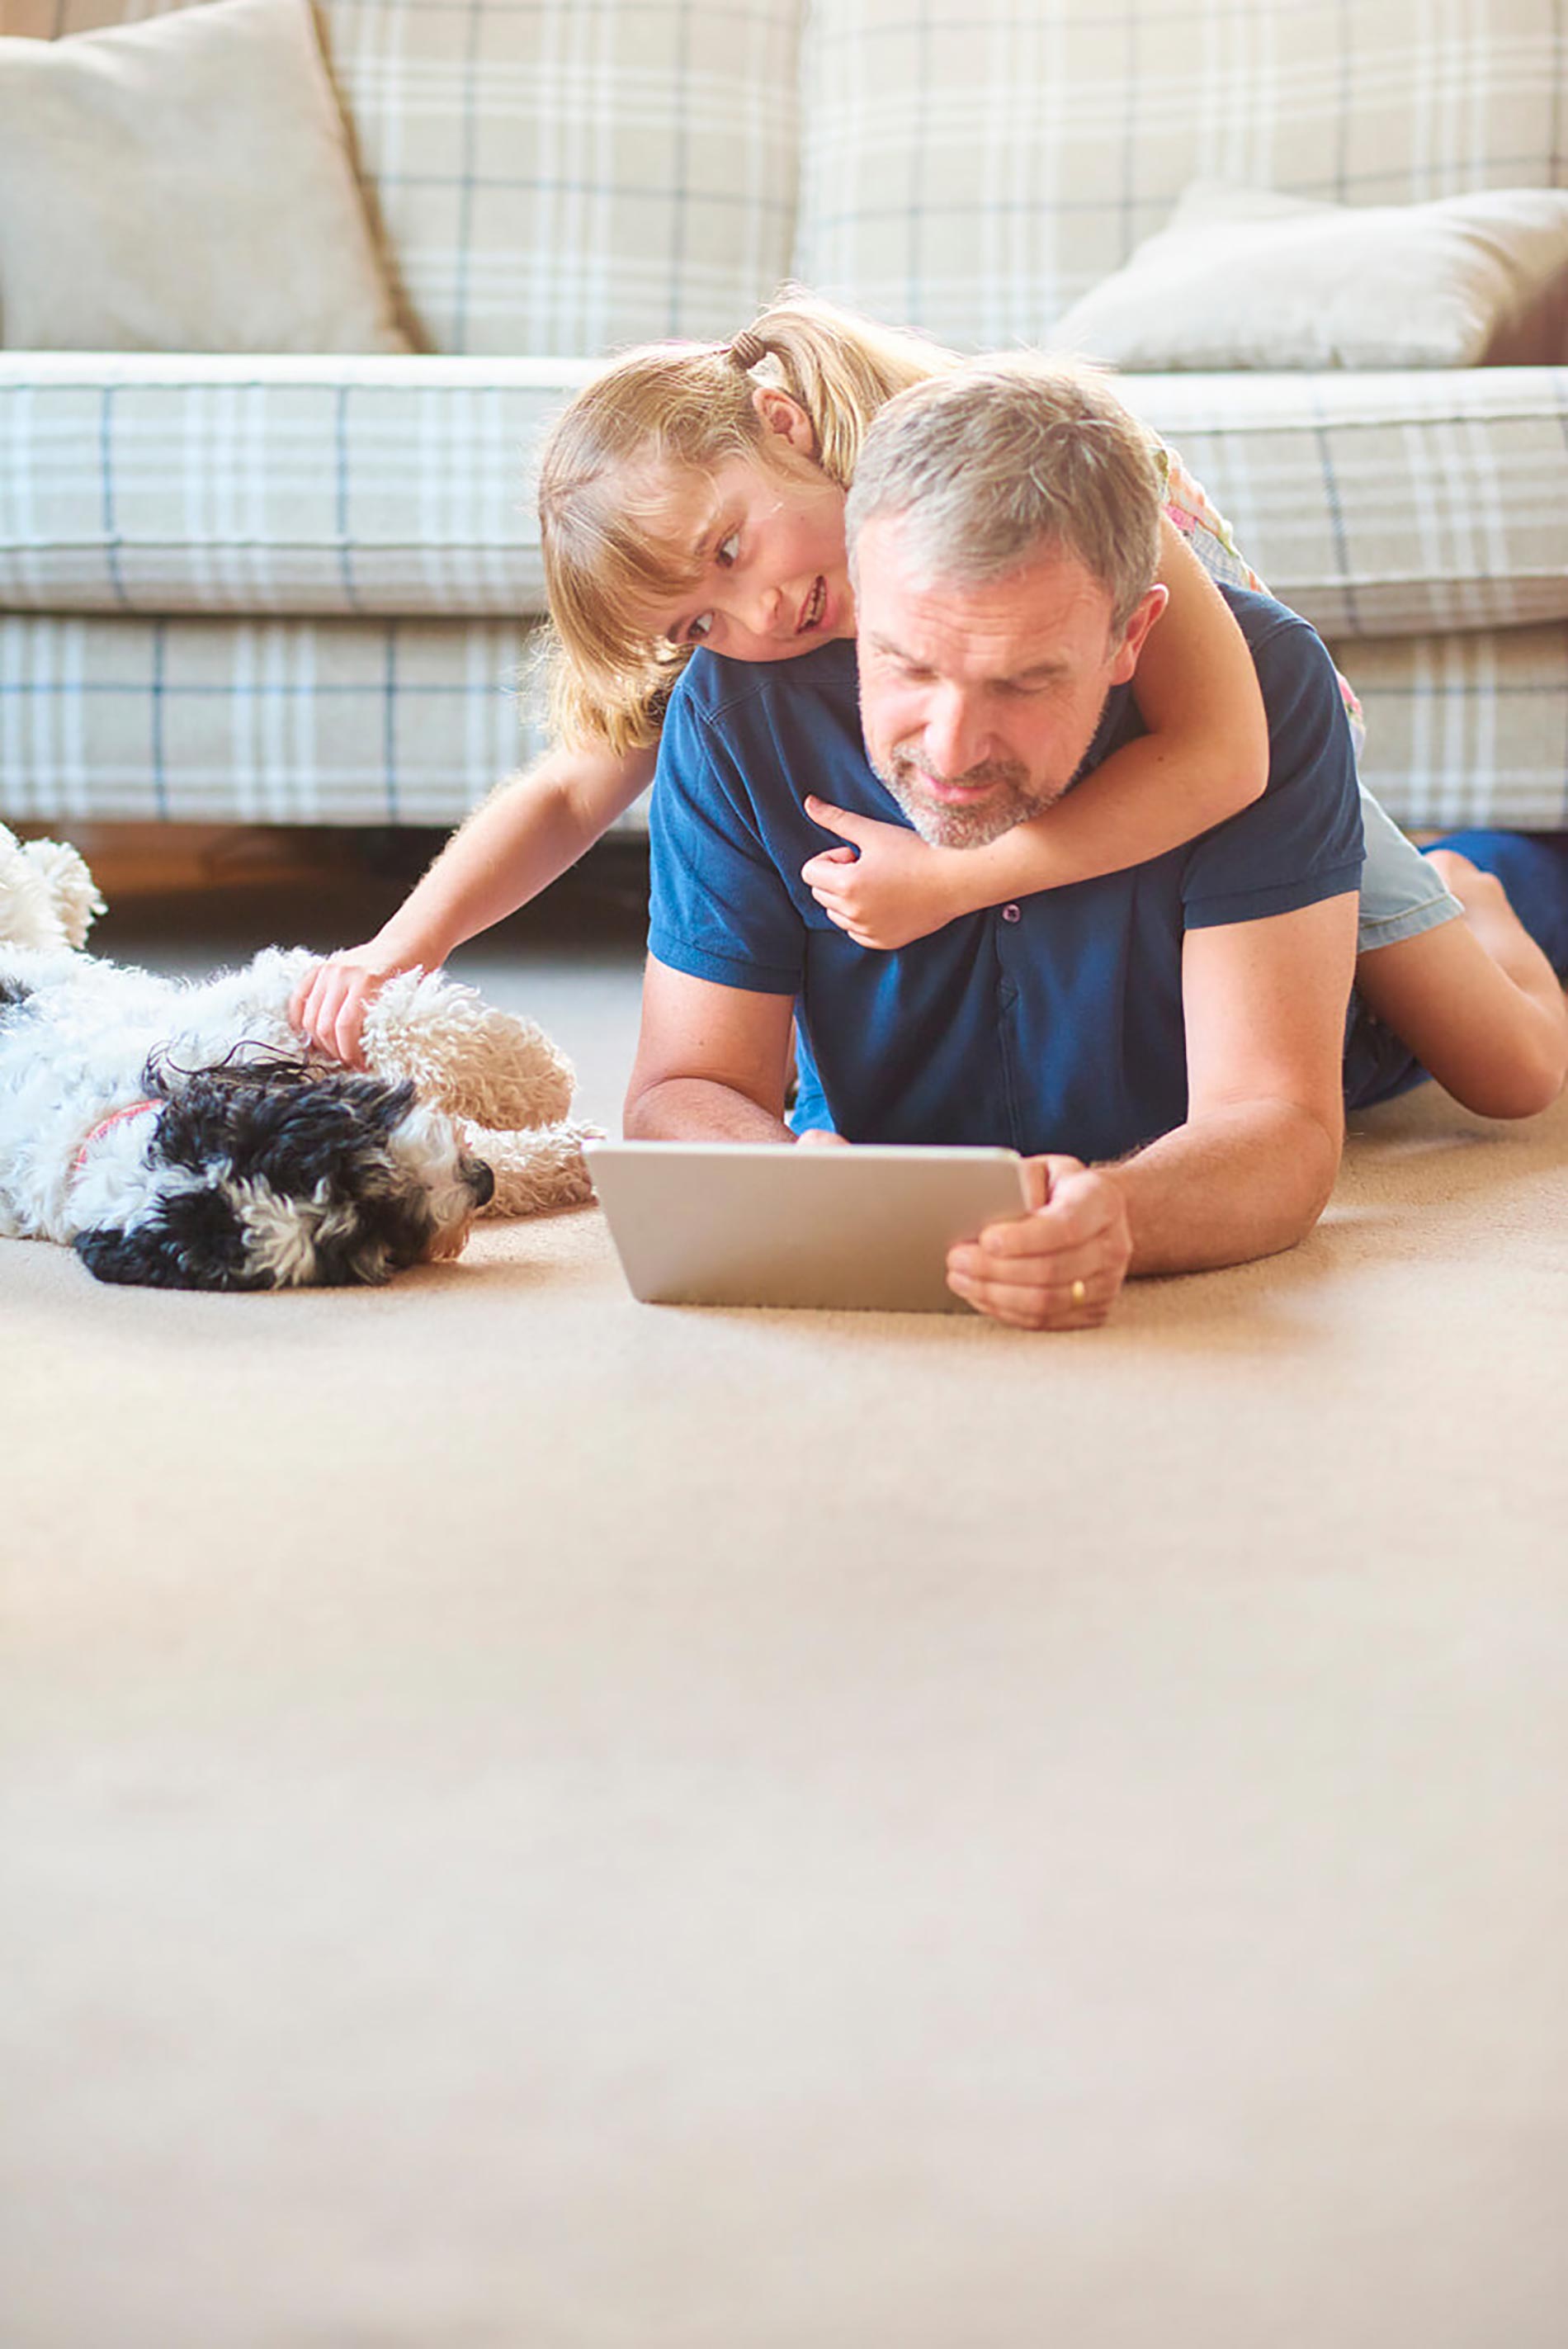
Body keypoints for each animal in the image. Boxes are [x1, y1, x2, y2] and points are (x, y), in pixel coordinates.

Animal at [0, 822, 596, 1296]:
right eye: (368, 1232)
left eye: (351, 1154)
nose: (480, 1183)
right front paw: (567, 1152)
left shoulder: (266, 1013)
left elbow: (395, 1017)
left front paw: (537, 1079)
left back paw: (63, 875)